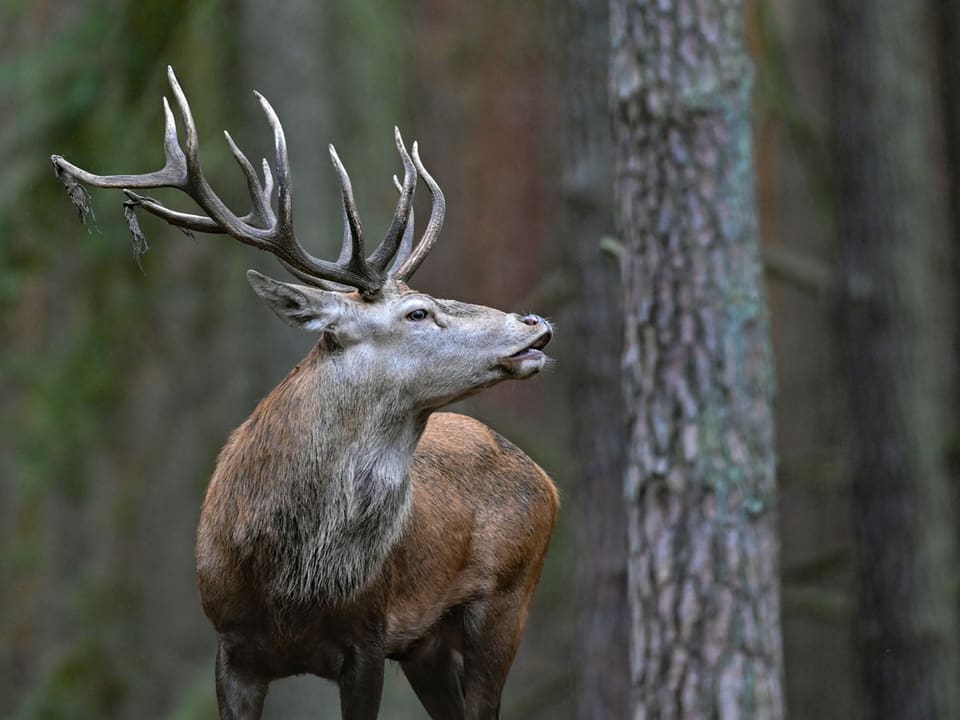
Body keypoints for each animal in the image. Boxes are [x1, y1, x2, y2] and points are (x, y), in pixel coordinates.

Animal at [52, 66, 560, 716]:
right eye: (418, 312)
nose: (535, 323)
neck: (289, 584)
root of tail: (546, 481)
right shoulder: (231, 649)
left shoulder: (368, 640)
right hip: (429, 643)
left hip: (506, 601)